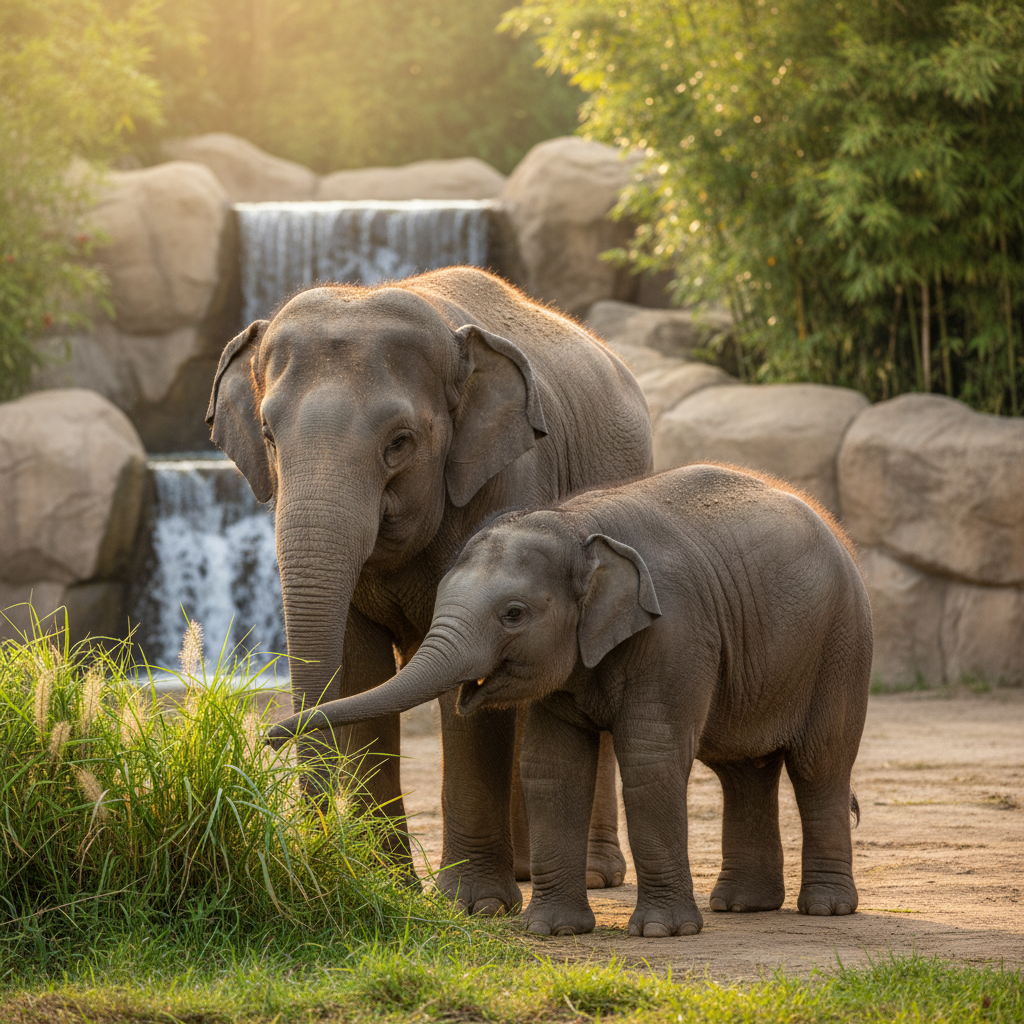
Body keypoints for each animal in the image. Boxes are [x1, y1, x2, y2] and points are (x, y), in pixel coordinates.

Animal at [206, 266, 653, 915]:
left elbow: (467, 689)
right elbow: (361, 672)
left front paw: (472, 905)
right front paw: (383, 884)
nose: (268, 737)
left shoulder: (504, 480)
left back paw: (593, 875)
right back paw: (525, 871)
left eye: (400, 442)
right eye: (266, 434)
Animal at [267, 462, 873, 937]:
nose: (271, 737)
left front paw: (661, 933)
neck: (575, 526)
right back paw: (742, 906)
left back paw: (825, 909)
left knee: (819, 765)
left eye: (513, 614)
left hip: (843, 645)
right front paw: (552, 930)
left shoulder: (675, 632)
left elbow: (651, 759)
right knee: (743, 770)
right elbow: (552, 766)